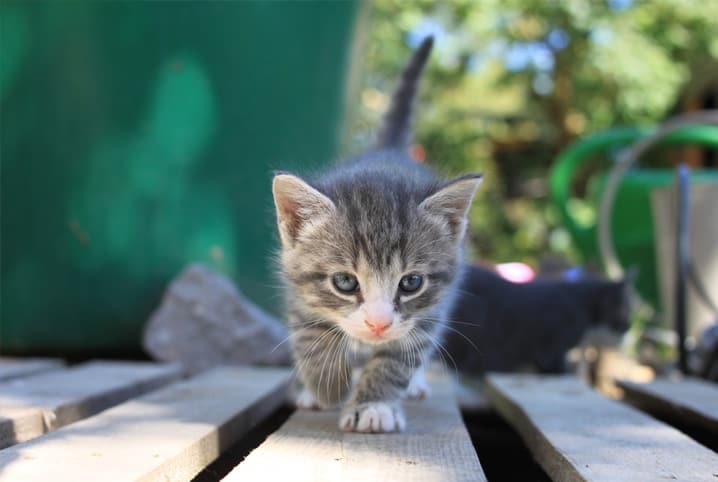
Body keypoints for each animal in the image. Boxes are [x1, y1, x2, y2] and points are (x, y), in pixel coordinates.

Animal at [270, 38, 484, 434]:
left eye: (411, 282)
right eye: (344, 282)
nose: (379, 324)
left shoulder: (432, 307)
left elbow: (397, 358)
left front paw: (373, 406)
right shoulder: (295, 290)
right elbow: (309, 336)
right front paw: (326, 386)